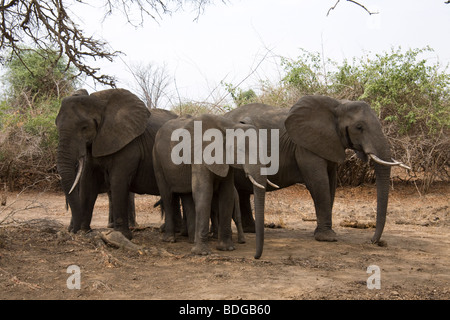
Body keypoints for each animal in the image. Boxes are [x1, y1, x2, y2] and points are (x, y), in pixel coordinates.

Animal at [57, 89, 179, 239]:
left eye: (84, 127)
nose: (73, 231)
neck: (100, 104)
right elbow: (88, 183)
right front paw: (84, 232)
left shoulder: (129, 144)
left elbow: (118, 181)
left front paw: (121, 235)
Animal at [225, 94, 408, 244]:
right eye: (359, 127)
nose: (373, 241)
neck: (338, 105)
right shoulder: (305, 147)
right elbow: (319, 183)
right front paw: (327, 238)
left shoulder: (328, 143)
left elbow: (331, 183)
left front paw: (322, 233)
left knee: (242, 192)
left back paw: (252, 229)